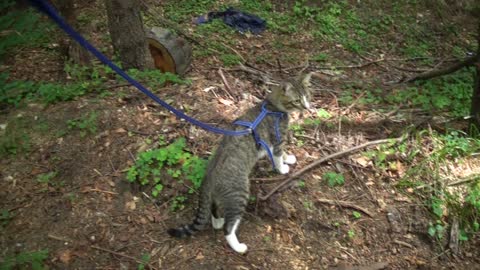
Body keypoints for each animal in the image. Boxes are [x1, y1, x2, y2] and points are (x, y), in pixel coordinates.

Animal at [167, 72, 314, 253]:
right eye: (297, 100)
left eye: (307, 96)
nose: (307, 107)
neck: (272, 106)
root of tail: (209, 177)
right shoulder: (278, 138)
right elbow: (279, 155)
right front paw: (283, 167)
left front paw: (288, 158)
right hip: (238, 195)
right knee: (228, 228)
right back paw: (238, 246)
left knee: (215, 212)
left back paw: (217, 222)